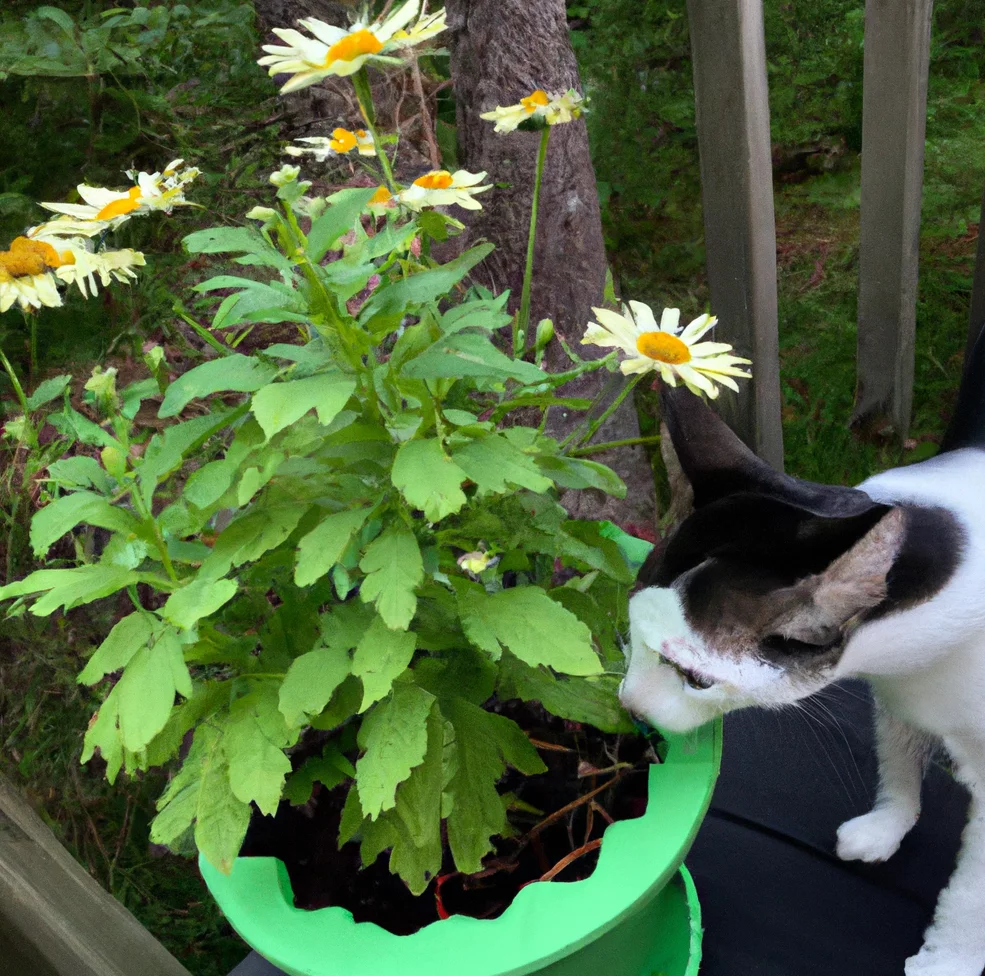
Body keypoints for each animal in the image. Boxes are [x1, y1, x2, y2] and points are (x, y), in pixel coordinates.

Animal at [620, 338, 984, 976]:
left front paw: (949, 960)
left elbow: (970, 896)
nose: (630, 707)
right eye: (633, 632)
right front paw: (887, 826)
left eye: (696, 678)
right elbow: (899, 759)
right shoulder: (897, 699)